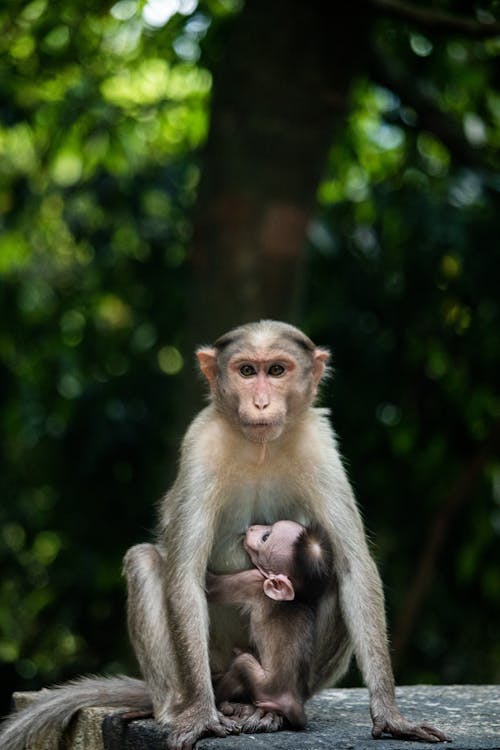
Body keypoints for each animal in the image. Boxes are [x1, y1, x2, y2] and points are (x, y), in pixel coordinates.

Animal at [205, 520, 334, 732]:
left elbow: (212, 586)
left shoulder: (252, 580)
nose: (251, 528)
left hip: (263, 686)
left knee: (242, 664)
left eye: (266, 537)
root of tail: (292, 704)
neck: (298, 598)